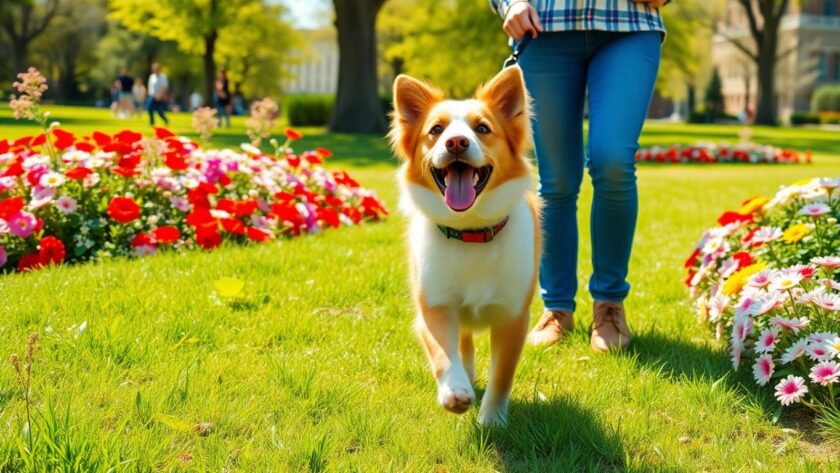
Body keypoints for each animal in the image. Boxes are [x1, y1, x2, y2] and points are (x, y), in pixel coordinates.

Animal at [390, 65, 540, 424]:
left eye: (482, 128)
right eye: (436, 129)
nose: (456, 141)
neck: (470, 231)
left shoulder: (514, 317)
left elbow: (502, 375)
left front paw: (492, 419)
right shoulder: (433, 305)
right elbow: (444, 351)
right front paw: (454, 391)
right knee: (464, 341)